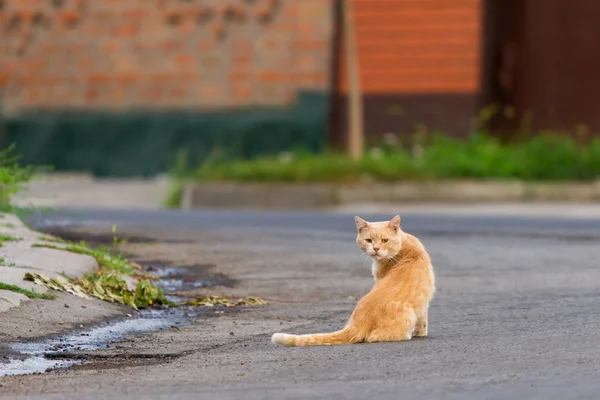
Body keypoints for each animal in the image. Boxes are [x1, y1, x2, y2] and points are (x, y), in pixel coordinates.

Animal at [272, 216, 436, 346]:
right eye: (369, 240)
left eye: (385, 240)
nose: (376, 249)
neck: (405, 247)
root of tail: (358, 322)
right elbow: (423, 318)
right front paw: (420, 332)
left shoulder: (423, 301)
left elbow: (423, 318)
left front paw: (420, 332)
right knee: (373, 338)